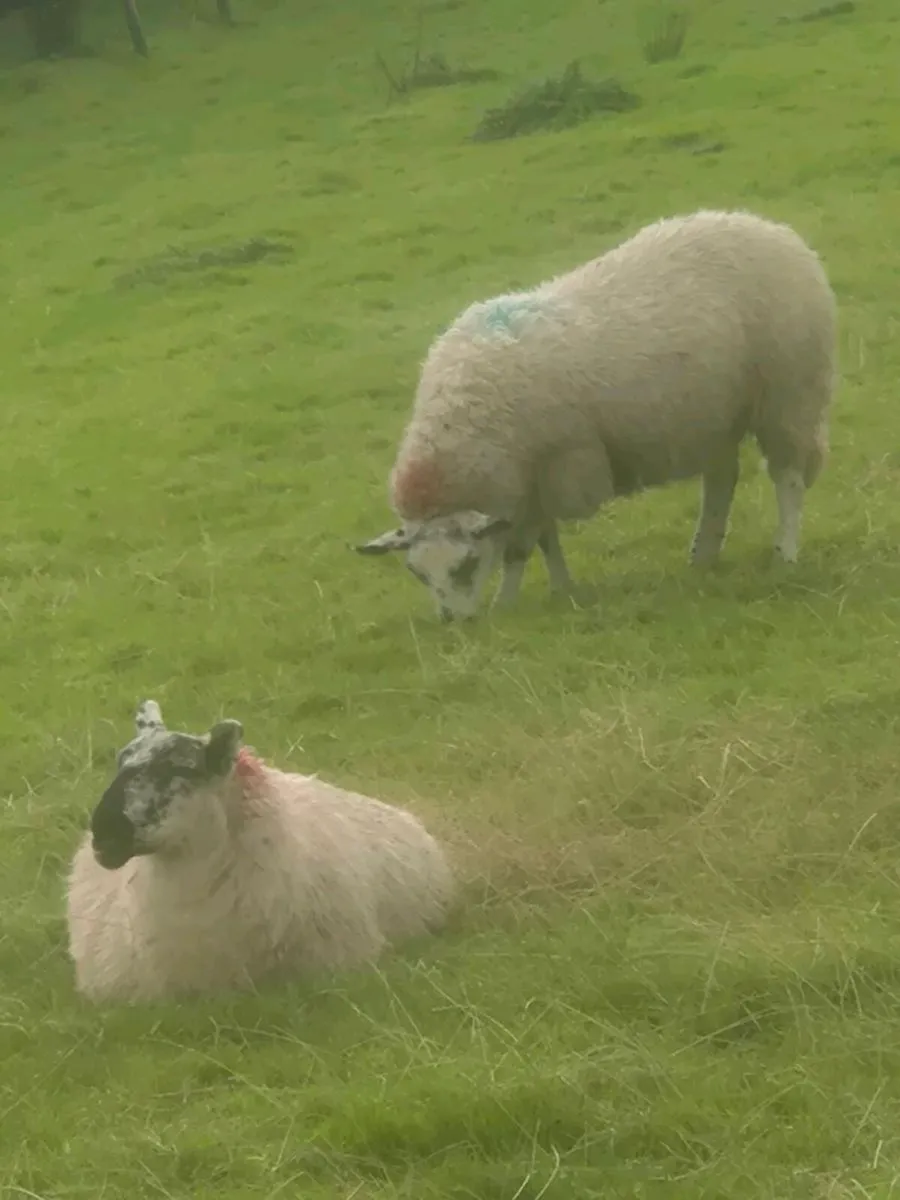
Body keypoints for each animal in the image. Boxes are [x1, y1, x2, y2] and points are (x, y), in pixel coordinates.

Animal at [356, 208, 837, 621]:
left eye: (466, 564)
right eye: (416, 572)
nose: (455, 623)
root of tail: (773, 229)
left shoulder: (550, 467)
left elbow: (519, 548)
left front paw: (506, 603)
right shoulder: (534, 480)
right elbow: (546, 539)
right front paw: (562, 589)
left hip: (788, 394)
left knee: (788, 479)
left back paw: (784, 552)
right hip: (714, 415)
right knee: (721, 482)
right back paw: (703, 556)